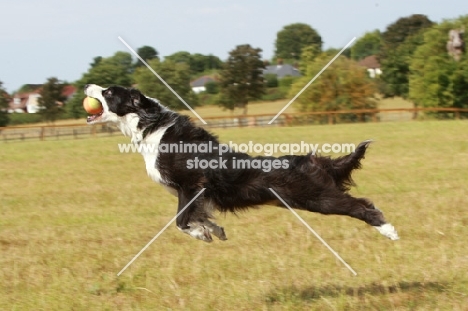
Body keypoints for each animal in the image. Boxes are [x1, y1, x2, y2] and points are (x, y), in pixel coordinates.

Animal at [84, 85, 398, 244]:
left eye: (109, 92)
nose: (88, 85)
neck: (152, 127)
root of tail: (313, 161)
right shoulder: (195, 194)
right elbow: (199, 215)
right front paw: (214, 230)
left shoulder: (190, 185)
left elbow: (181, 221)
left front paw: (202, 234)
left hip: (319, 198)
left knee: (363, 206)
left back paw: (389, 231)